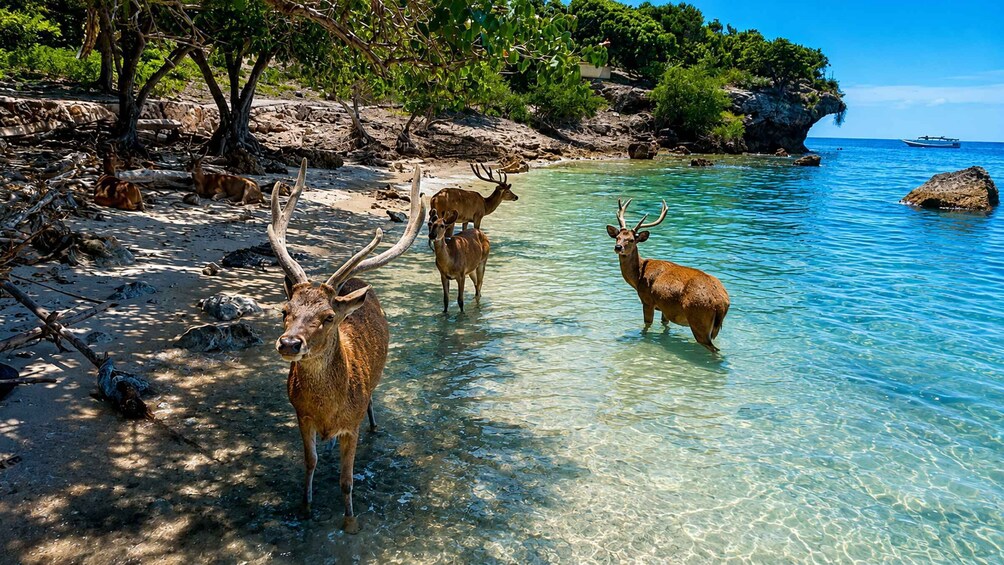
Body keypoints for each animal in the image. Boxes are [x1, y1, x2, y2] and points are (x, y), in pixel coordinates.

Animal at [268, 159, 426, 534]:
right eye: (285, 310)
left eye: (328, 317)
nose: (290, 343)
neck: (328, 410)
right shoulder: (301, 415)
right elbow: (310, 462)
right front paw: (306, 506)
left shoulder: (350, 426)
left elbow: (346, 480)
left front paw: (350, 520)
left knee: (373, 402)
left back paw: (375, 424)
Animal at [606, 199, 730, 352]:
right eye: (617, 237)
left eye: (631, 240)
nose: (618, 247)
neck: (638, 277)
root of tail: (721, 303)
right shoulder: (665, 306)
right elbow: (664, 325)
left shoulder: (647, 300)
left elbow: (647, 324)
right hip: (713, 326)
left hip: (698, 317)